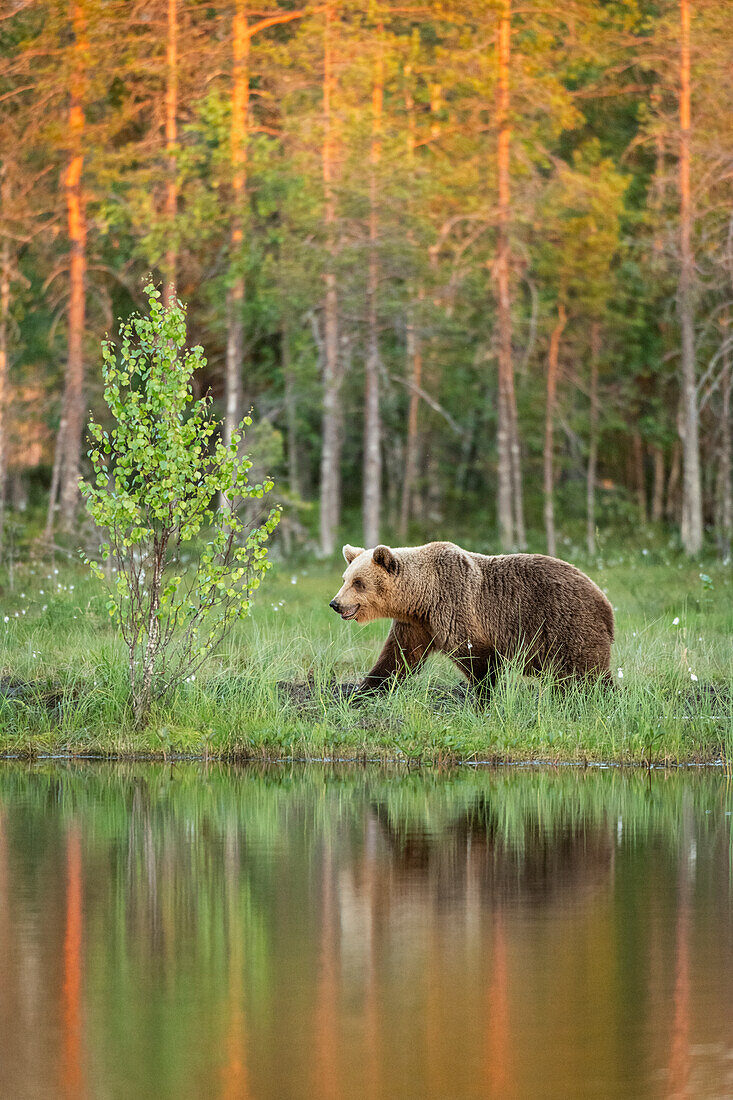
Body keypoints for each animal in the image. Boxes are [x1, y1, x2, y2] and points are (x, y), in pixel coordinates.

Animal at [330, 541, 611, 695]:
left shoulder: (455, 606)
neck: (422, 596)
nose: (335, 603)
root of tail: (603, 598)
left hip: (566, 624)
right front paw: (364, 690)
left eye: (358, 582)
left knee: (586, 673)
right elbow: (398, 658)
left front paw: (482, 699)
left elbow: (477, 659)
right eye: (345, 579)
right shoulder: (416, 624)